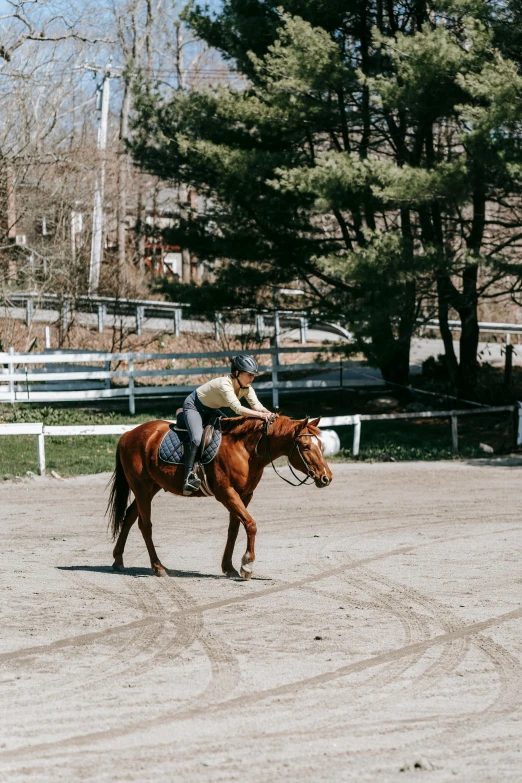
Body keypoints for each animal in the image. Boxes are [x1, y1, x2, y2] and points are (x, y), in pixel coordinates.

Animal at [107, 416, 332, 576]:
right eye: (306, 447)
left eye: (321, 446)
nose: (326, 477)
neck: (245, 450)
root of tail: (128, 434)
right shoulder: (226, 493)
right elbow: (251, 525)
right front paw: (247, 565)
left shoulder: (244, 495)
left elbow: (235, 528)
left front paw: (229, 567)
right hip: (142, 488)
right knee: (145, 525)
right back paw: (158, 567)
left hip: (151, 487)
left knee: (129, 516)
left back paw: (118, 560)